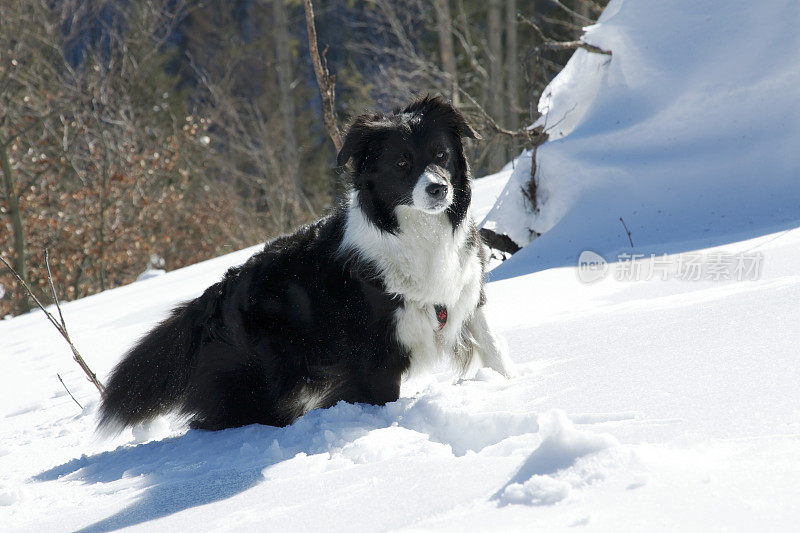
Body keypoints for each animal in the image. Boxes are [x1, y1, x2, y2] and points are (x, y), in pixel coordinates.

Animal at [100, 95, 516, 430]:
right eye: (401, 163)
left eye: (441, 154)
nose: (439, 188)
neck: (419, 235)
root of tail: (215, 294)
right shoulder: (374, 358)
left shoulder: (465, 295)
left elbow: (495, 350)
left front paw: (512, 387)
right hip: (259, 383)